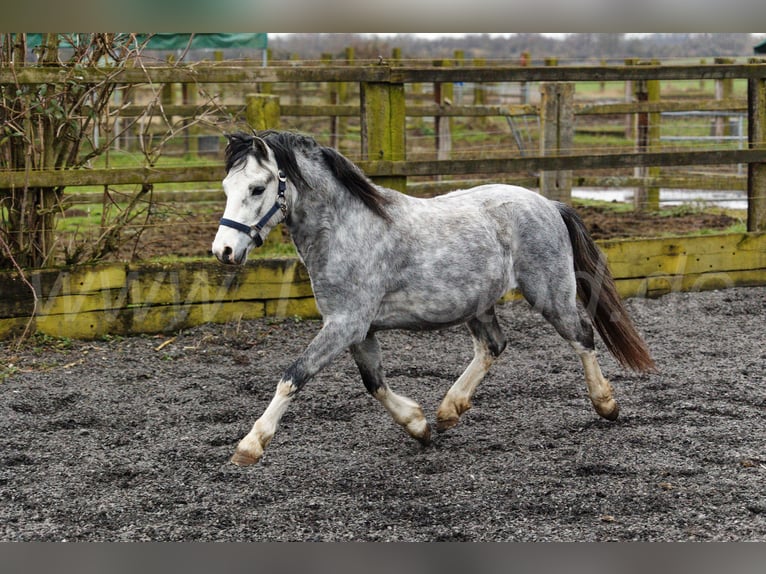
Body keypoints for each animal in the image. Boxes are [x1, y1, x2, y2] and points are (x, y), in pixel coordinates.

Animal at [213, 132, 656, 468]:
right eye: (226, 188)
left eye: (257, 188)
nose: (224, 251)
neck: (345, 229)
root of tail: (549, 203)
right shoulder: (356, 329)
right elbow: (374, 384)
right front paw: (419, 426)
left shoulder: (346, 324)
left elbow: (294, 376)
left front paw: (250, 446)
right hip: (478, 303)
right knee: (494, 346)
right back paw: (448, 411)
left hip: (550, 293)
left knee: (582, 336)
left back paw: (606, 405)